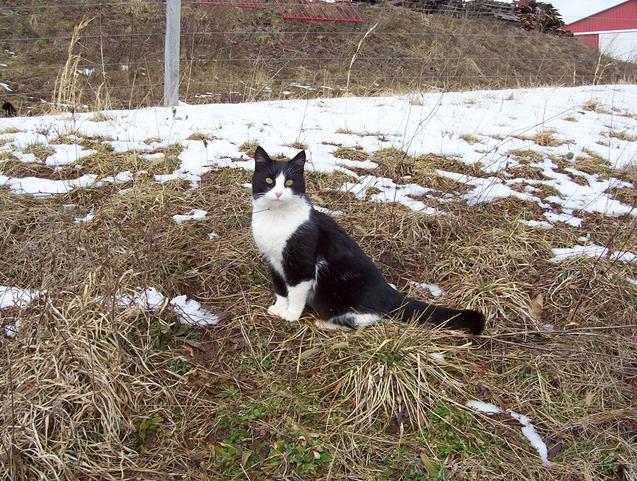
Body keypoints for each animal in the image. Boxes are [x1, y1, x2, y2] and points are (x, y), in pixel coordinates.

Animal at [248, 146, 482, 332]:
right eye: (269, 180)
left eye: (289, 182)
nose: (278, 193)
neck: (276, 218)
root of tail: (388, 292)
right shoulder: (272, 259)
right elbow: (280, 288)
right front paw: (278, 308)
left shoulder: (301, 263)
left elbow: (296, 292)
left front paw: (291, 315)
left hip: (339, 291)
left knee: (368, 318)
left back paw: (326, 323)